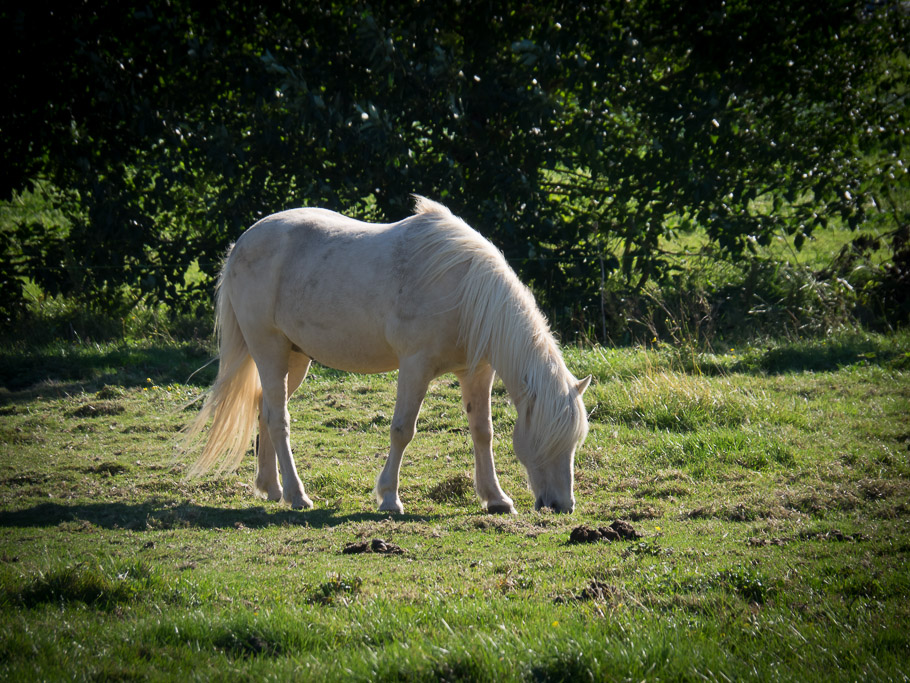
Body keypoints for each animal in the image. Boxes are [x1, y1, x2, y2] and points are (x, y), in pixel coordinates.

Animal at [183, 197, 590, 514]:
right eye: (548, 438)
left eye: (573, 442)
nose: (563, 506)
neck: (464, 292)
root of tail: (242, 242)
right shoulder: (415, 367)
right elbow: (402, 430)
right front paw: (389, 499)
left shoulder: (476, 373)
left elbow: (482, 432)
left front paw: (496, 499)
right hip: (268, 349)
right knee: (279, 419)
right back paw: (298, 496)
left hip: (294, 360)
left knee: (265, 412)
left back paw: (272, 489)